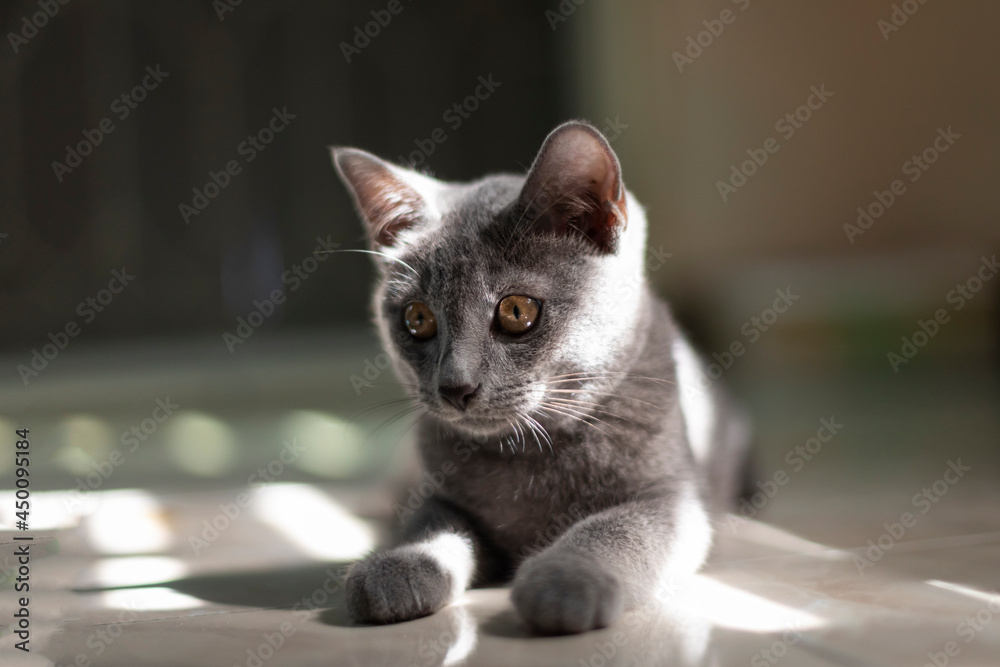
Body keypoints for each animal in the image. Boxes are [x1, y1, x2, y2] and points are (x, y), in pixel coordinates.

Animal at [332, 121, 748, 636]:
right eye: (418, 318)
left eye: (516, 311)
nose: (455, 386)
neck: (525, 455)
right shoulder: (439, 492)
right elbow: (429, 521)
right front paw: (402, 563)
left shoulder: (672, 499)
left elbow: (615, 528)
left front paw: (563, 580)